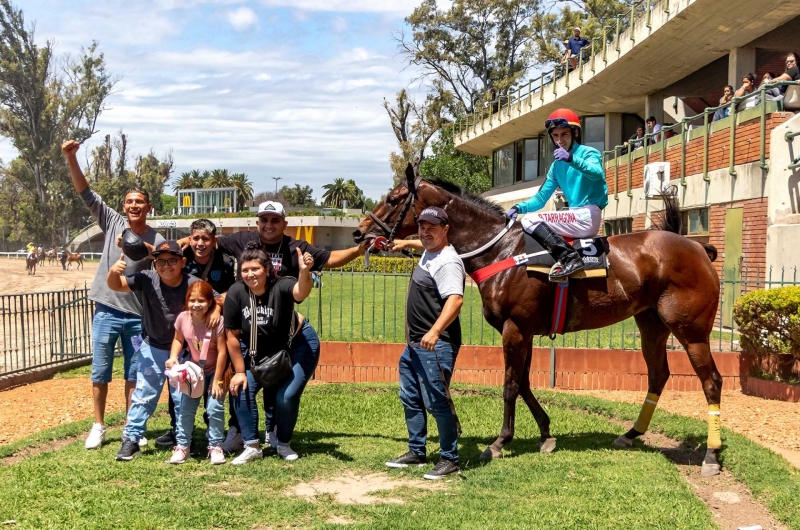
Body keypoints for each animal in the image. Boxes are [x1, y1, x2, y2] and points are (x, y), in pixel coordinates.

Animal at [352, 165, 724, 474]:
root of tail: (697, 247)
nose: (359, 232)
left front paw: (499, 443)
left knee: (712, 382)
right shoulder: (525, 330)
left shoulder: (514, 329)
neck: (501, 251)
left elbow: (510, 385)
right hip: (651, 325)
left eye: (392, 198)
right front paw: (546, 433)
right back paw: (631, 433)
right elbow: (524, 382)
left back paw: (711, 456)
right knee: (658, 375)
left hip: (691, 331)